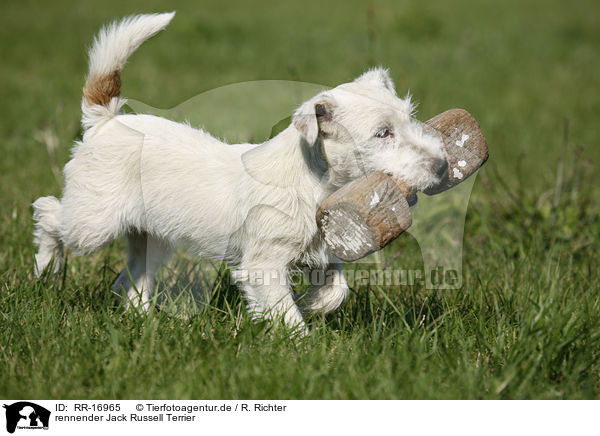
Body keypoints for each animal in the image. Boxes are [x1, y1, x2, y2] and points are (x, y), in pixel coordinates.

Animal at [32, 12, 446, 334]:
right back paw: (46, 266)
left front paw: (311, 305)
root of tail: (107, 120)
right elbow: (285, 312)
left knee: (130, 280)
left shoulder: (318, 249)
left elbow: (336, 287)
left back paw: (144, 321)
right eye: (383, 133)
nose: (442, 165)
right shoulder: (264, 264)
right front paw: (303, 345)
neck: (314, 180)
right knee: (49, 213)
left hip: (152, 236)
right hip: (93, 223)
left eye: (408, 119)